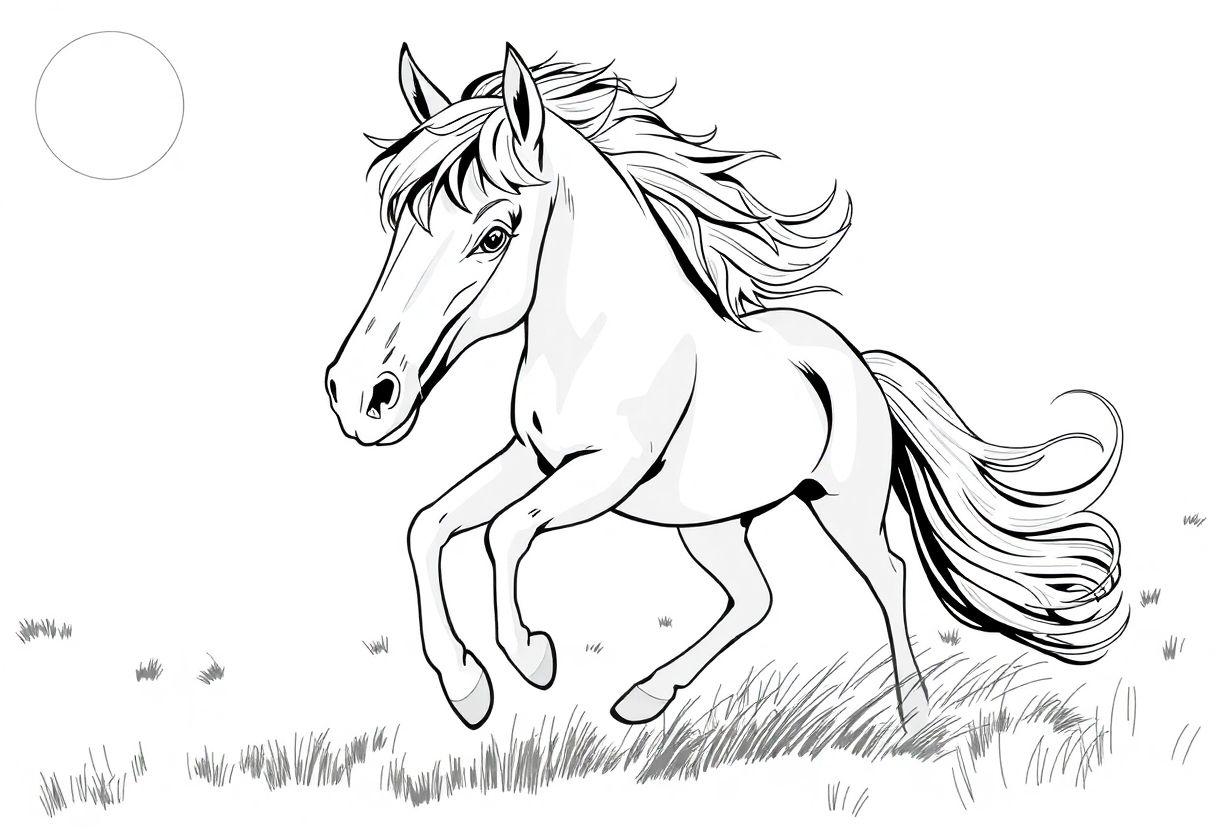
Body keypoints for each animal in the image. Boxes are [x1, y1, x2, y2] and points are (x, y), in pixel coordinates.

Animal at [325, 44, 1126, 732]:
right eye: (396, 222)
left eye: (493, 236)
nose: (361, 396)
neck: (596, 341)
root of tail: (858, 364)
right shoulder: (534, 458)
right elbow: (428, 526)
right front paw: (467, 688)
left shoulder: (601, 474)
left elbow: (505, 532)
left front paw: (532, 657)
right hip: (711, 524)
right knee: (754, 598)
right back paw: (645, 698)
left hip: (841, 508)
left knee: (887, 575)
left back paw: (914, 715)